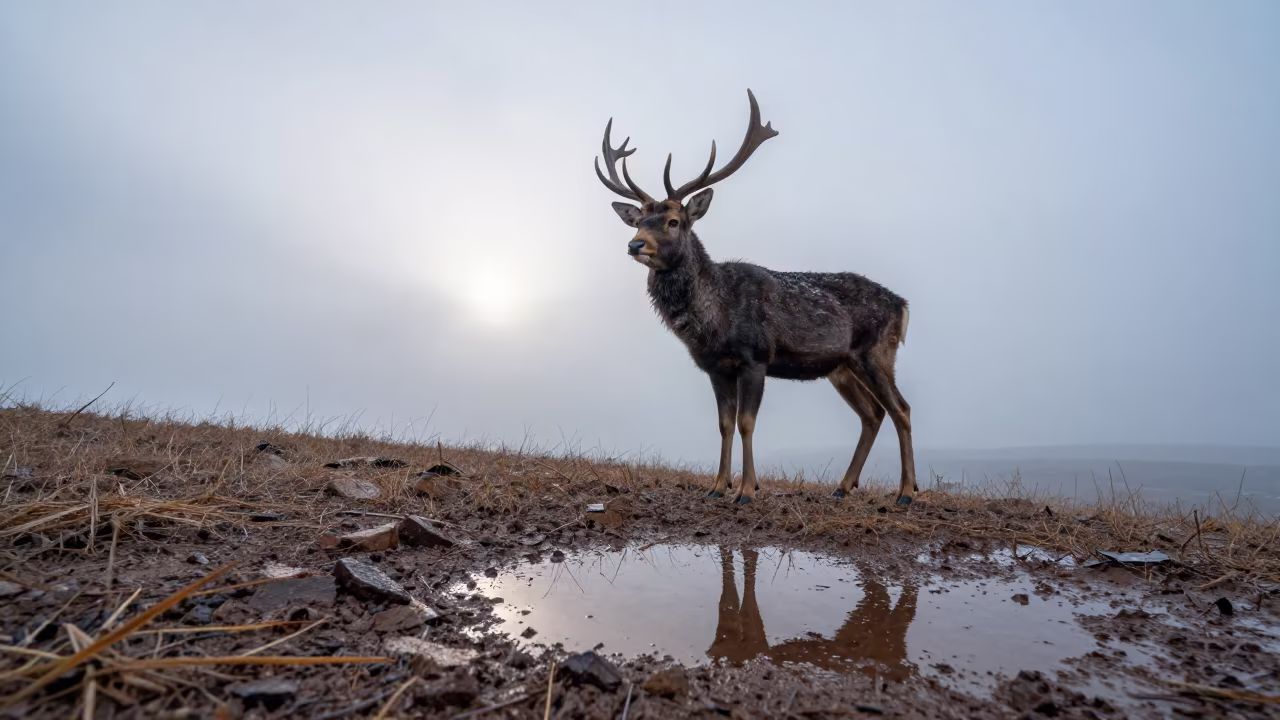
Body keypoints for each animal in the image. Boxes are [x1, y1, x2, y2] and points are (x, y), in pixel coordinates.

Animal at [594, 89, 918, 507]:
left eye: (673, 221)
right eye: (638, 221)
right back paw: (844, 487)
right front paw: (718, 486)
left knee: (901, 409)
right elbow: (724, 424)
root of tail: (902, 305)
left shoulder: (756, 357)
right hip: (841, 367)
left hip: (877, 352)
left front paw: (747, 490)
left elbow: (746, 423)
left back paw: (907, 492)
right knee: (871, 414)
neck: (715, 319)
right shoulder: (716, 367)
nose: (635, 245)